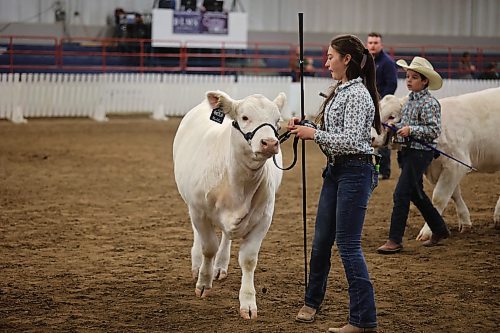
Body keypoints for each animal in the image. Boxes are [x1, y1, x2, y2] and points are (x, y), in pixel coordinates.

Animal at [173, 89, 286, 318]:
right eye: (244, 117)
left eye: (277, 121)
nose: (270, 143)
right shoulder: (199, 211)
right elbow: (208, 247)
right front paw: (203, 283)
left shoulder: (263, 219)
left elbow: (249, 260)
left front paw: (248, 303)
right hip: (192, 205)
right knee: (199, 236)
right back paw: (197, 264)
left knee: (226, 236)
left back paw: (220, 266)